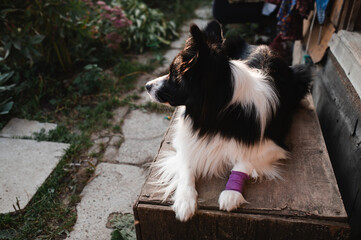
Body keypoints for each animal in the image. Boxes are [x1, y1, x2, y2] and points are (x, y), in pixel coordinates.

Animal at [145, 20, 310, 221]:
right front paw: (185, 200)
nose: (147, 86)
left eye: (173, 74)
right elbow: (187, 163)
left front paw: (231, 193)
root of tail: (266, 46)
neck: (220, 111)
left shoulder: (274, 145)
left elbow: (244, 161)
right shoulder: (186, 140)